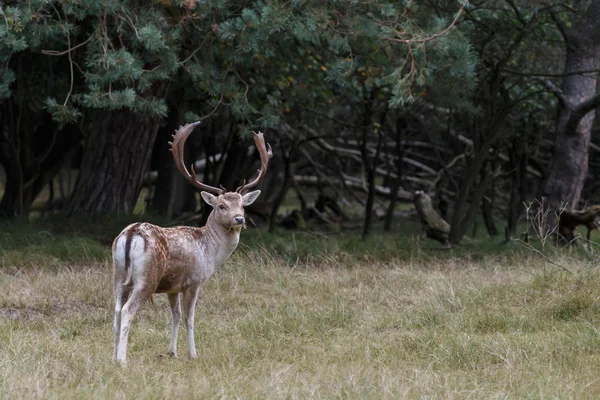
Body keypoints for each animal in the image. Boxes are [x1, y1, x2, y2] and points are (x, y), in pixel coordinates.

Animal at [112, 122, 272, 366]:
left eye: (243, 205)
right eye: (222, 206)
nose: (239, 219)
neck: (210, 252)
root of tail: (131, 233)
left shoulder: (173, 286)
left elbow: (175, 316)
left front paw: (172, 352)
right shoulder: (193, 280)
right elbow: (189, 318)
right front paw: (193, 354)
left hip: (118, 274)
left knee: (116, 310)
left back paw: (111, 357)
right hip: (147, 278)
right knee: (128, 310)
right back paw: (122, 360)